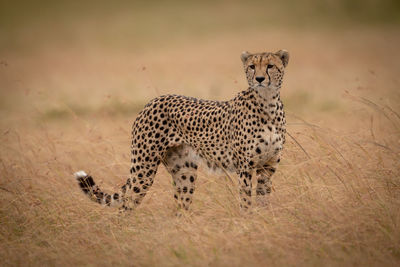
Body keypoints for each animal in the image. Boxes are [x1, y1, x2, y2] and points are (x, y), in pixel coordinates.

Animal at [74, 50, 288, 213]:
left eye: (270, 66)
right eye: (252, 66)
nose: (260, 79)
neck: (267, 103)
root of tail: (153, 100)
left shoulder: (268, 167)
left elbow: (263, 198)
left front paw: (262, 219)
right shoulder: (245, 167)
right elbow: (246, 200)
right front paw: (248, 220)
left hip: (184, 172)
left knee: (179, 208)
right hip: (144, 168)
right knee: (125, 206)